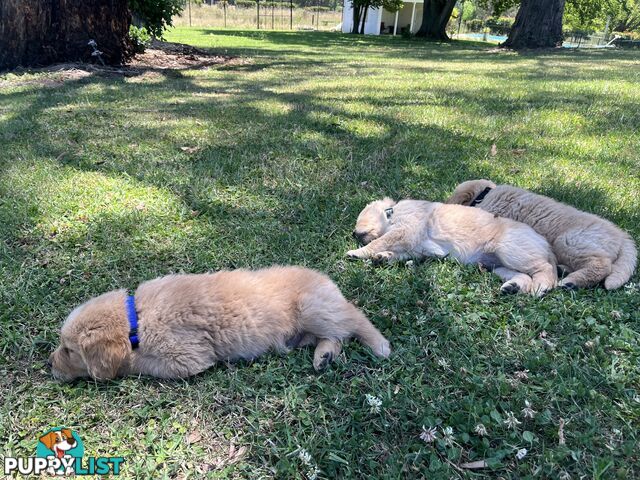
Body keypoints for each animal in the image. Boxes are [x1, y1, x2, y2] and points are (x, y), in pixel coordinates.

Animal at [48, 264, 390, 380]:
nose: (49, 365)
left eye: (69, 350)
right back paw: (324, 356)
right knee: (335, 336)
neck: (137, 318)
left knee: (353, 318)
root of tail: (327, 280)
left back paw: (379, 344)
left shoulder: (186, 358)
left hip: (312, 307)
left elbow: (136, 363)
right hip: (307, 328)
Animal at [348, 196, 556, 294]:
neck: (392, 213)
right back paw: (513, 287)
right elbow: (396, 253)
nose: (353, 234)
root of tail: (547, 245)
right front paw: (383, 257)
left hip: (511, 249)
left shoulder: (406, 230)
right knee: (524, 275)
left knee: (545, 269)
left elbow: (379, 242)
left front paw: (357, 252)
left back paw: (541, 287)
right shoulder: (415, 248)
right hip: (497, 266)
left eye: (360, 218)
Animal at [448, 179, 636, 288]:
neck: (486, 193)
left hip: (569, 241)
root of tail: (622, 236)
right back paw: (563, 270)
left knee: (601, 266)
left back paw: (571, 282)